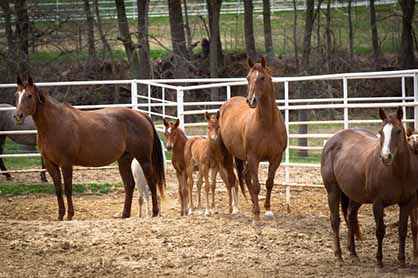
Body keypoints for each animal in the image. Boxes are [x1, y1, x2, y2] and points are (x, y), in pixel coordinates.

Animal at [14, 75, 165, 219]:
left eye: (29, 95)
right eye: (17, 94)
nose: (18, 116)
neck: (55, 124)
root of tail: (141, 115)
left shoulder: (66, 163)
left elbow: (68, 188)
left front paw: (70, 215)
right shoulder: (50, 164)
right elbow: (58, 189)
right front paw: (60, 215)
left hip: (143, 159)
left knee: (151, 181)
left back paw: (155, 212)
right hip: (124, 159)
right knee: (129, 185)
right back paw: (125, 214)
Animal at [216, 57, 288, 220]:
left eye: (262, 78)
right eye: (248, 78)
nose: (251, 100)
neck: (267, 124)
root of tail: (226, 104)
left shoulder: (276, 158)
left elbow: (269, 182)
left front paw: (267, 210)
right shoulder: (254, 157)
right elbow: (256, 186)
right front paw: (257, 214)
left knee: (245, 177)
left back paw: (253, 206)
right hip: (229, 154)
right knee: (232, 179)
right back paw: (235, 208)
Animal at [320, 107, 418, 270]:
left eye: (398, 131)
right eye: (381, 131)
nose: (385, 157)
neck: (398, 173)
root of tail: (332, 140)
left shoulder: (407, 203)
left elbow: (403, 230)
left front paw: (402, 261)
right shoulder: (378, 203)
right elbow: (380, 231)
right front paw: (379, 261)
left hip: (356, 196)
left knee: (351, 216)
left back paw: (353, 253)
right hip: (332, 191)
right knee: (335, 221)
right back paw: (339, 256)